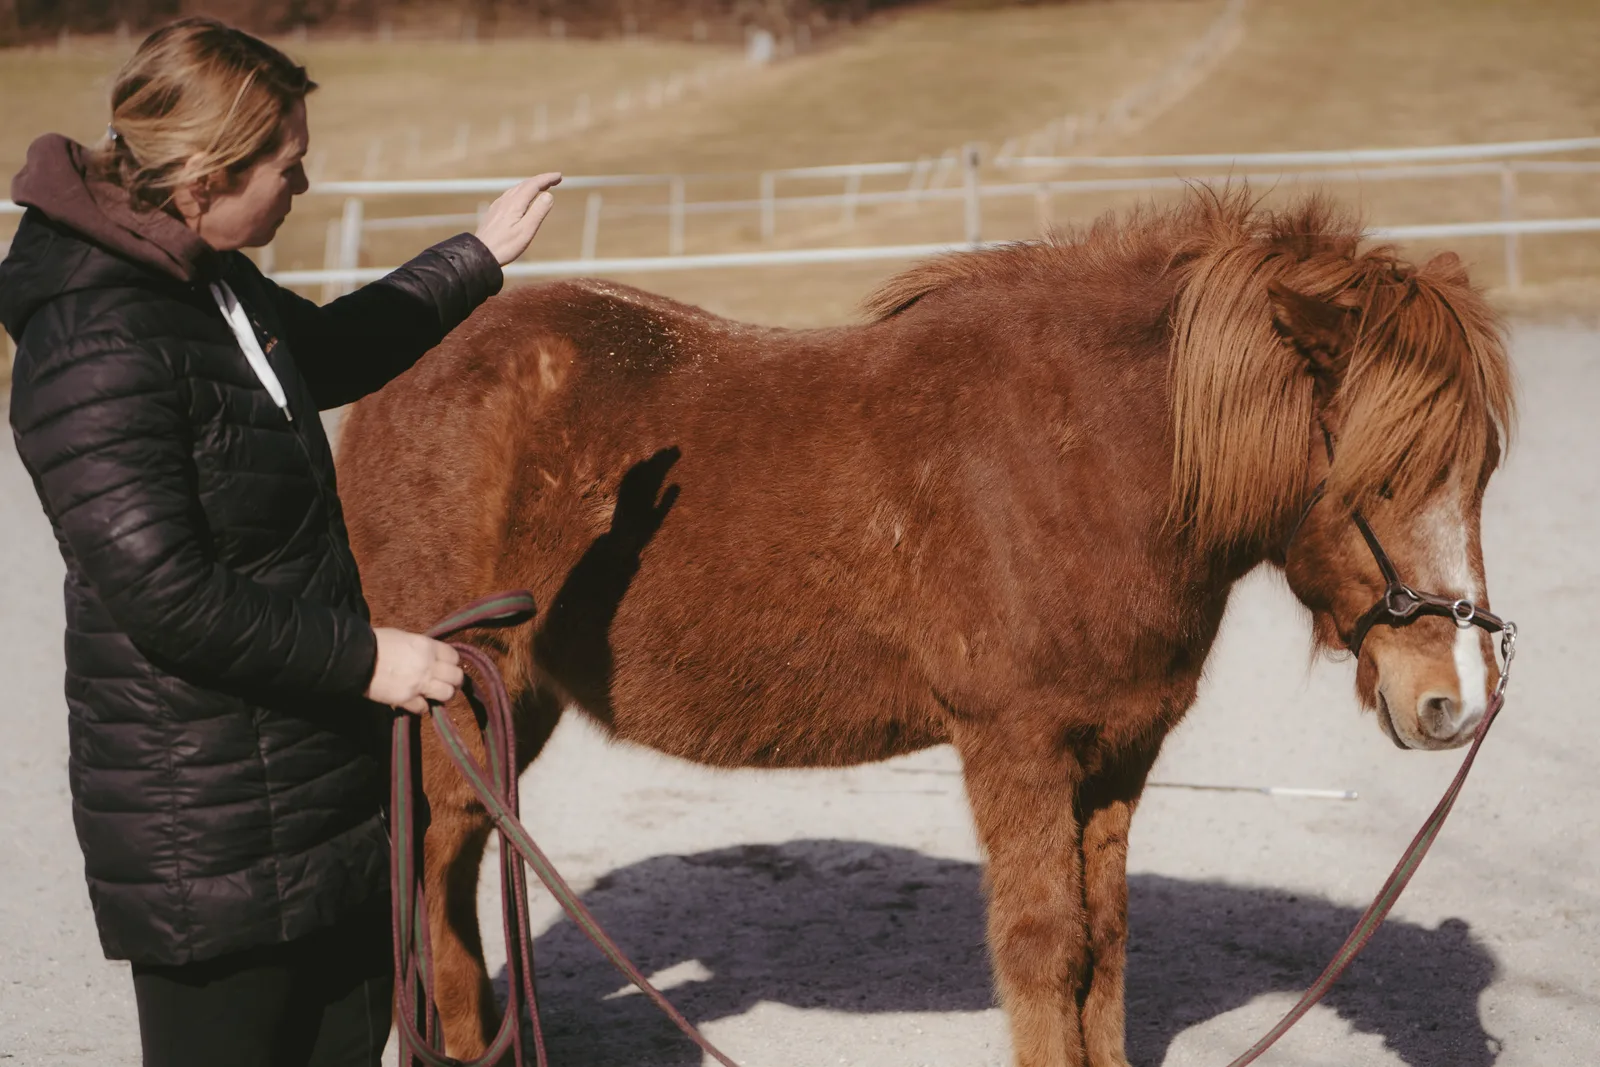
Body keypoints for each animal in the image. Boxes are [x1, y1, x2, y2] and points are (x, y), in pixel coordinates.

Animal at [337, 187, 1514, 1067]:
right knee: (439, 857)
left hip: (508, 698)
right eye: (1380, 472)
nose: (1454, 697)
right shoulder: (1017, 747)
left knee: (455, 855)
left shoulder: (1118, 752)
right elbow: (1044, 945)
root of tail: (400, 384)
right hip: (461, 686)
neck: (1085, 462)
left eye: (1482, 468)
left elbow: (1107, 941)